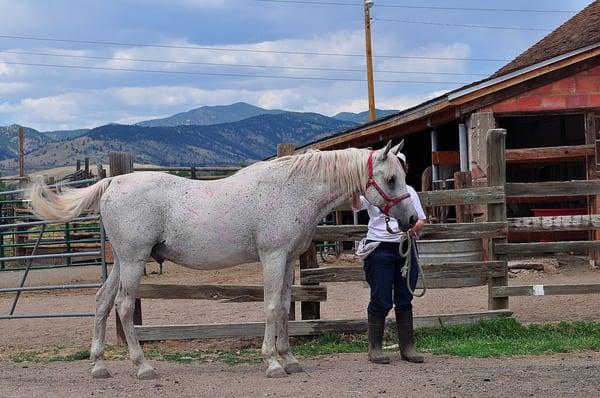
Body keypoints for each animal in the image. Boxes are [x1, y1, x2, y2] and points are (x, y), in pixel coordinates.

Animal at [29, 141, 418, 380]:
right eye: (390, 178)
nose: (413, 219)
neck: (293, 189)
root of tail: (112, 182)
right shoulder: (273, 257)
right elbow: (271, 306)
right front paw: (272, 362)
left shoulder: (288, 260)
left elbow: (284, 306)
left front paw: (289, 359)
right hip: (134, 261)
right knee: (124, 307)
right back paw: (143, 367)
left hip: (123, 263)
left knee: (101, 302)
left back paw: (98, 366)